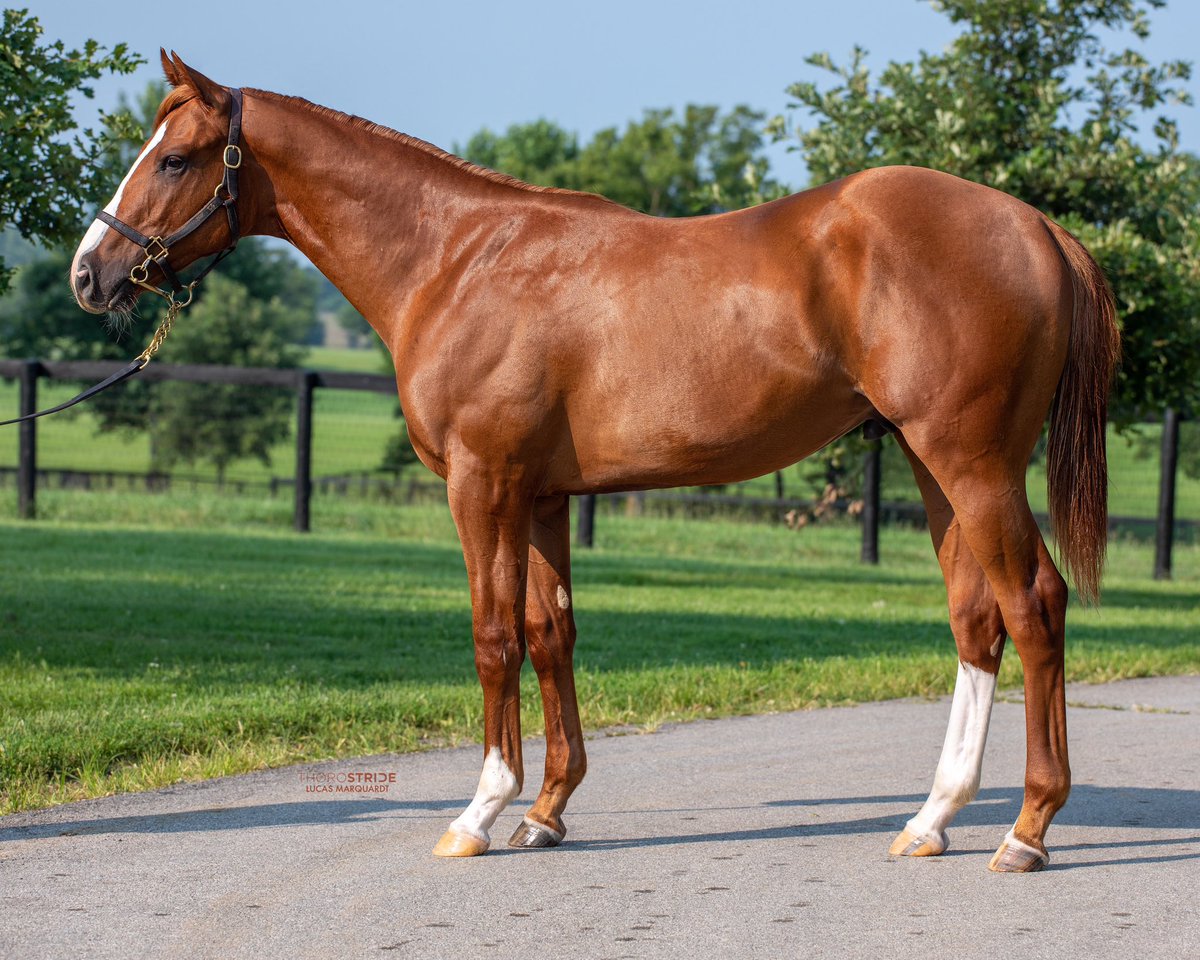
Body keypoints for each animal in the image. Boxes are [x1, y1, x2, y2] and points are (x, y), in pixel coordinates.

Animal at [70, 52, 1120, 873]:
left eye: (173, 157)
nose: (90, 273)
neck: (457, 260)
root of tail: (1035, 228)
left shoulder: (481, 484)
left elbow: (493, 636)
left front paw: (479, 812)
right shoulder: (540, 496)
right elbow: (550, 634)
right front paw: (544, 814)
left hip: (974, 464)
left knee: (1034, 607)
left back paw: (1026, 831)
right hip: (932, 467)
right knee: (977, 621)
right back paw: (932, 819)